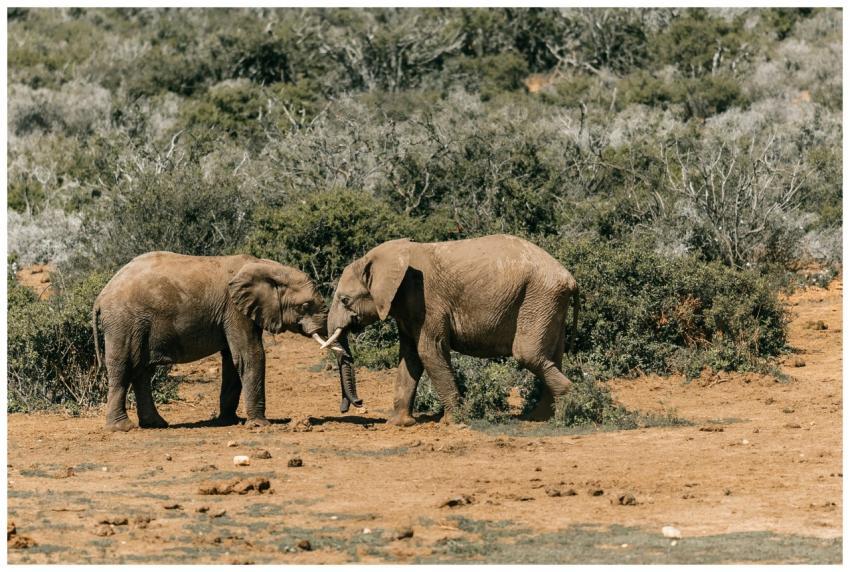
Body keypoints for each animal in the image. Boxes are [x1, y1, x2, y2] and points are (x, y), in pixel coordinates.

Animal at [92, 251, 360, 432]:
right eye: (305, 305)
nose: (355, 404)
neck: (265, 266)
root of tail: (101, 296)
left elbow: (233, 360)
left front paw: (229, 421)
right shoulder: (234, 310)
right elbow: (250, 355)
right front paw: (260, 424)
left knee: (142, 370)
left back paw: (157, 424)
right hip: (124, 322)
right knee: (123, 367)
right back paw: (122, 428)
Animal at [326, 234, 579, 426]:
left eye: (345, 300)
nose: (357, 404)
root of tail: (571, 279)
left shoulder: (427, 302)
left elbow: (429, 351)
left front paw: (451, 422)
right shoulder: (406, 308)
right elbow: (410, 357)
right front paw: (398, 424)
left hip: (538, 298)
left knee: (528, 354)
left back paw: (564, 411)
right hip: (549, 303)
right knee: (551, 358)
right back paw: (541, 417)